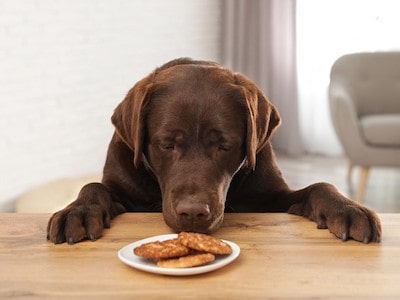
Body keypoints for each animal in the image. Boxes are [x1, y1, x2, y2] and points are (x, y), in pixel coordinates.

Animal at [47, 58, 382, 244]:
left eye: (224, 145)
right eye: (167, 144)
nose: (193, 213)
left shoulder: (271, 197)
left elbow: (320, 186)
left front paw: (348, 208)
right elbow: (93, 186)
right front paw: (76, 211)